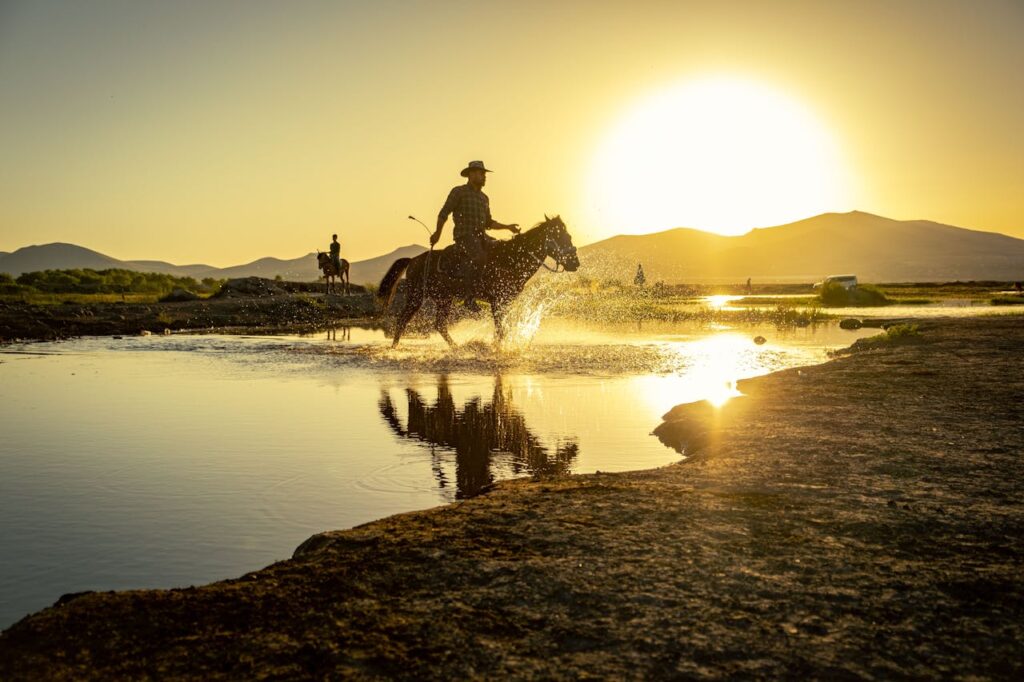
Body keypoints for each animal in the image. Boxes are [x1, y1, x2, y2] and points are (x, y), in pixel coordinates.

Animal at [378, 215, 585, 348]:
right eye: (561, 236)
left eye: (569, 236)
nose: (575, 263)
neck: (511, 259)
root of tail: (413, 260)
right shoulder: (497, 299)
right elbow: (501, 328)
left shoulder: (506, 300)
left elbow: (502, 327)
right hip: (416, 297)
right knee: (402, 320)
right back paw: (394, 349)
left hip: (444, 298)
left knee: (439, 325)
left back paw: (457, 348)